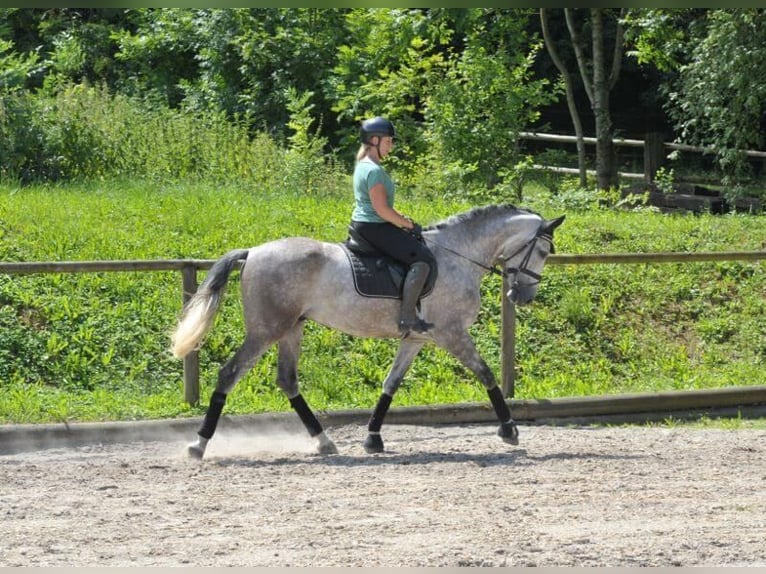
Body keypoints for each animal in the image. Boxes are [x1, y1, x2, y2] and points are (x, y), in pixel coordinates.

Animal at [171, 205, 564, 462]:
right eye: (543, 250)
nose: (523, 297)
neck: (459, 256)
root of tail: (253, 252)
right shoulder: (451, 333)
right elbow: (486, 373)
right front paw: (509, 430)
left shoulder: (417, 339)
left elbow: (390, 384)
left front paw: (373, 438)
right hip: (266, 329)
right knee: (230, 374)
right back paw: (198, 445)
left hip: (291, 328)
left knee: (287, 380)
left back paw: (324, 442)